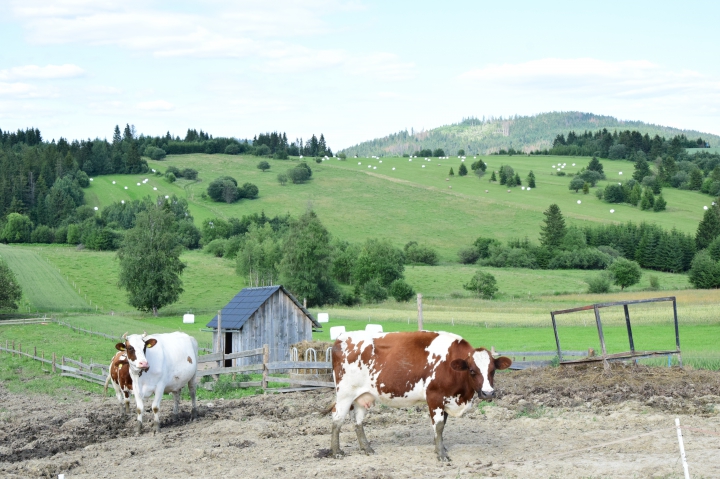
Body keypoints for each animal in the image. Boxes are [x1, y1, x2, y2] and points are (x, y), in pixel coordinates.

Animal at [332, 332, 512, 464]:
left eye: (492, 370)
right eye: (472, 371)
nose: (488, 393)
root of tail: (342, 337)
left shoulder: (445, 400)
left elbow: (442, 427)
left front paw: (441, 448)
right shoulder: (434, 397)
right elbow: (438, 426)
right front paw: (441, 454)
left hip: (363, 396)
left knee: (358, 421)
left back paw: (366, 449)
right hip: (344, 394)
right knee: (337, 418)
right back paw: (337, 451)